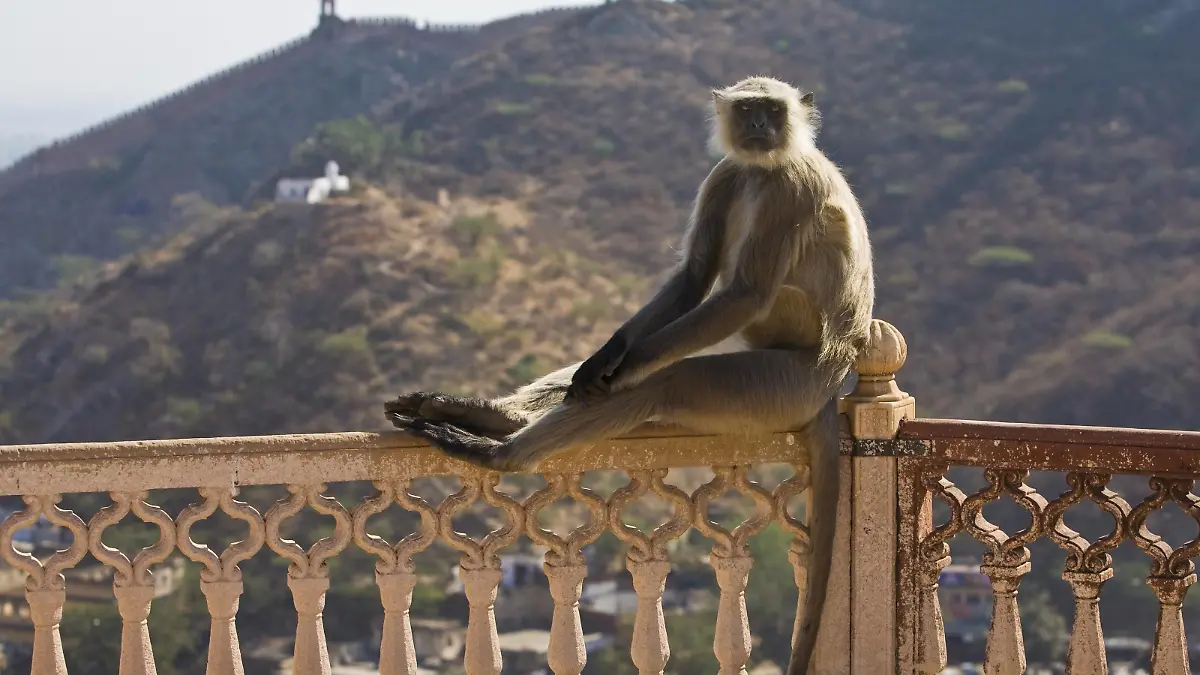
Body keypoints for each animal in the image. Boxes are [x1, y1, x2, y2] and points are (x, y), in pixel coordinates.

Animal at [385, 75, 874, 675]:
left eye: (772, 111)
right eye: (749, 111)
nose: (760, 127)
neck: (765, 167)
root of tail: (834, 380)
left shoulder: (790, 187)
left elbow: (741, 294)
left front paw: (619, 373)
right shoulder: (728, 174)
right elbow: (693, 277)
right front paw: (606, 358)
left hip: (778, 385)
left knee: (670, 378)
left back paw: (500, 453)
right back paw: (483, 415)